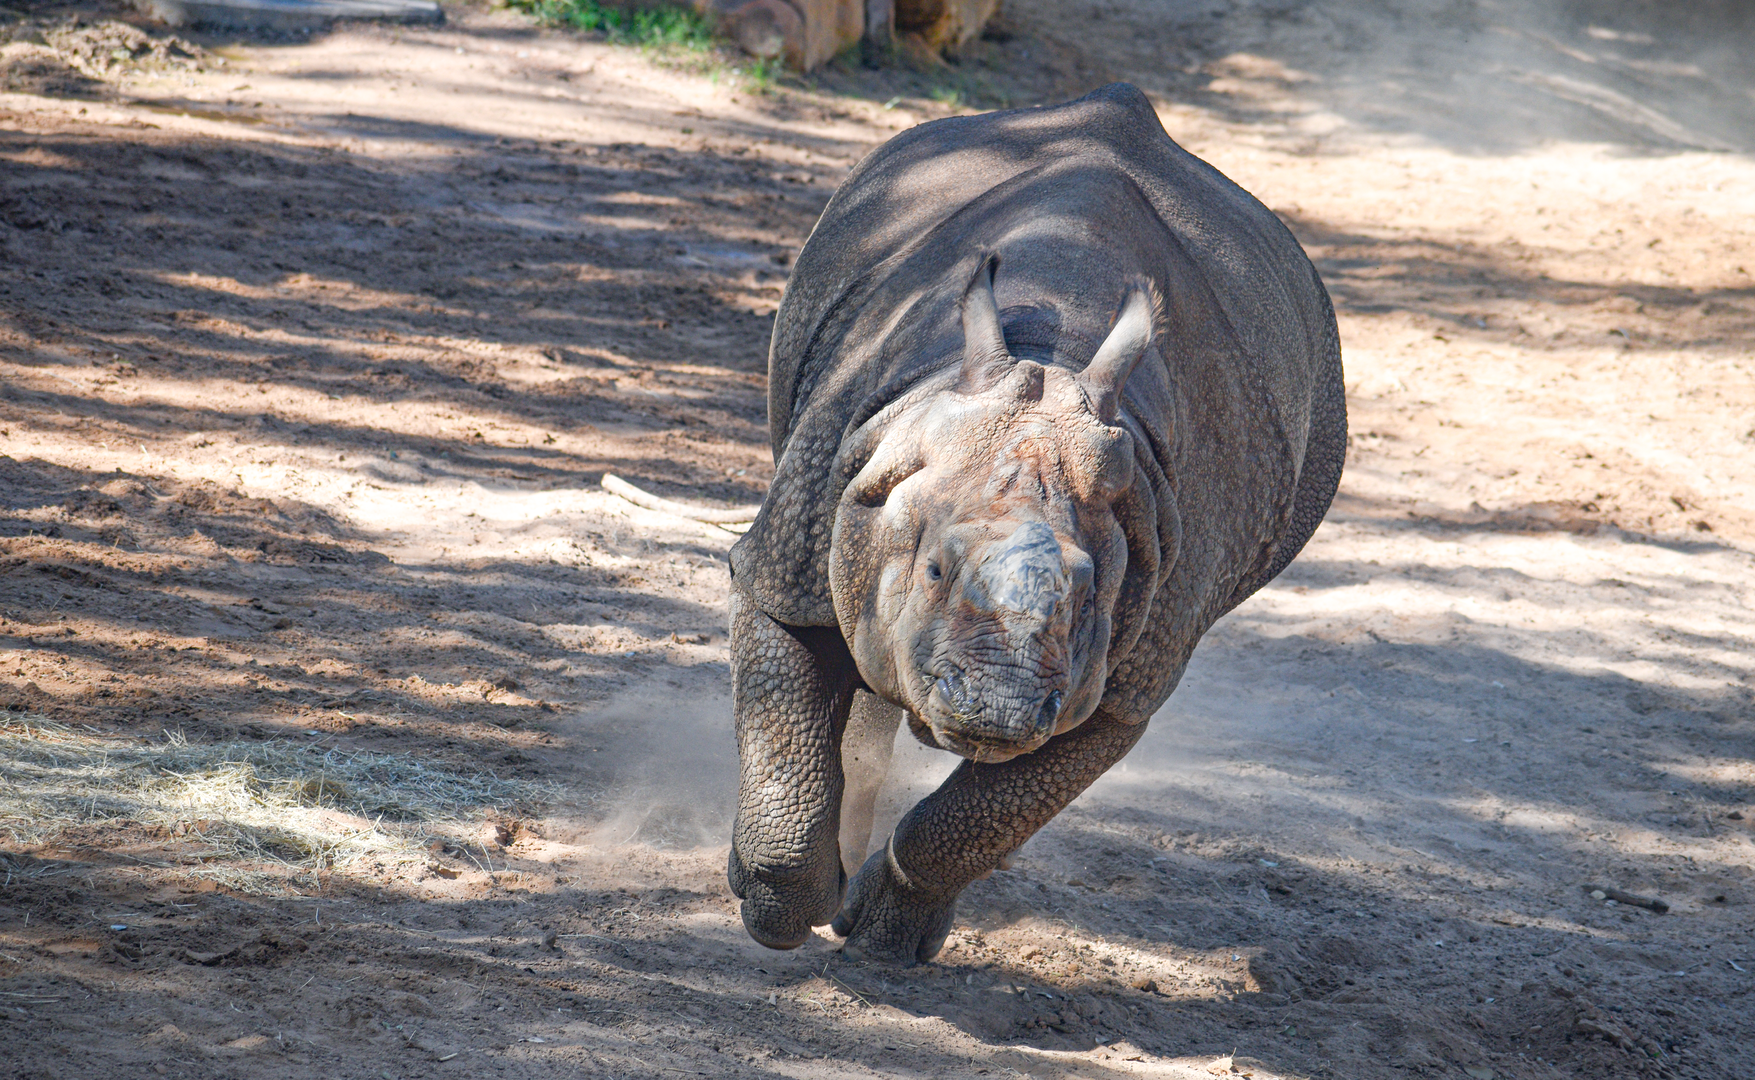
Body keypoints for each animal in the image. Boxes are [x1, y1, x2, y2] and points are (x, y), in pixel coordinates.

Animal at [725, 83, 1346, 965]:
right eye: (934, 570)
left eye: (1090, 598)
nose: (997, 711)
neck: (1052, 365)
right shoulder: (791, 551)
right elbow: (786, 717)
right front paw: (778, 912)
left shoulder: (1130, 670)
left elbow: (982, 820)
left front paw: (884, 940)